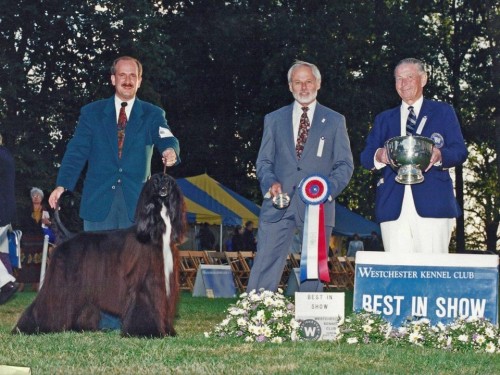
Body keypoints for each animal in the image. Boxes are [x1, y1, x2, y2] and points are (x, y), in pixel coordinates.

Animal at [13, 174, 186, 338]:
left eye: (168, 181)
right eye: (156, 181)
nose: (163, 189)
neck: (154, 231)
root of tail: (68, 236)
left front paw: (168, 331)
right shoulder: (145, 282)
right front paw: (148, 332)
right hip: (61, 280)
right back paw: (29, 328)